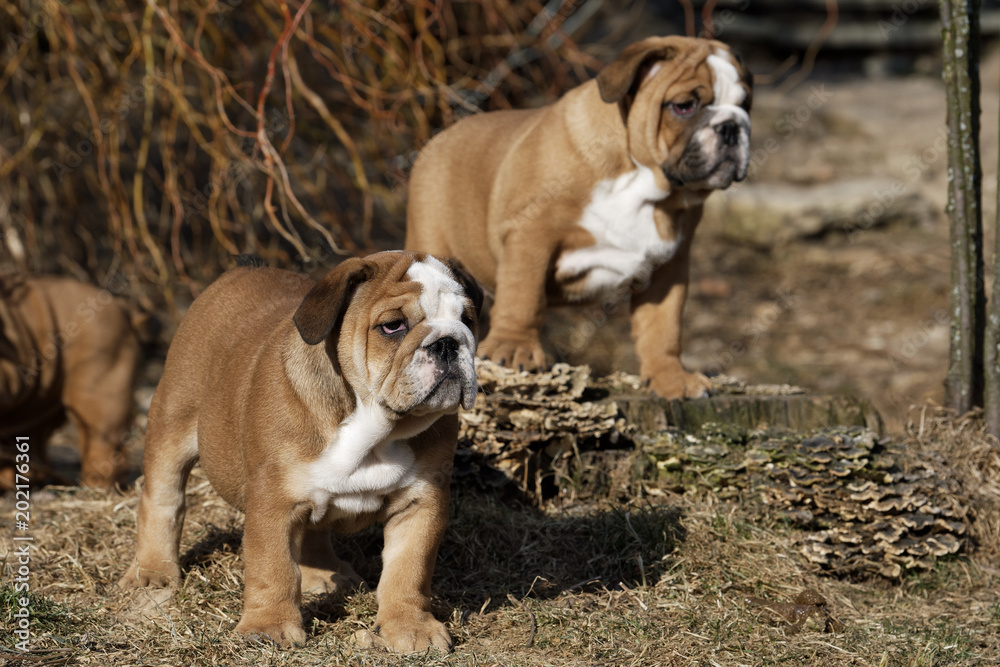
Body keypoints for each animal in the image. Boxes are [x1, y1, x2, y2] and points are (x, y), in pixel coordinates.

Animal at [119, 253, 482, 656]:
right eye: (392, 326)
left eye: (467, 320)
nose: (448, 342)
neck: (374, 427)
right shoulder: (273, 500)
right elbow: (272, 566)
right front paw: (269, 626)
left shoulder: (421, 503)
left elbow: (409, 570)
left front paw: (410, 626)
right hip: (173, 420)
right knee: (163, 498)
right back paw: (154, 572)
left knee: (314, 530)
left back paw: (324, 573)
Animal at [406, 36, 752, 400]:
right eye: (684, 106)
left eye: (746, 105)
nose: (732, 126)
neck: (643, 185)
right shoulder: (531, 235)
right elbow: (523, 296)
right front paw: (514, 349)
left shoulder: (669, 267)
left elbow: (663, 327)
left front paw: (670, 377)